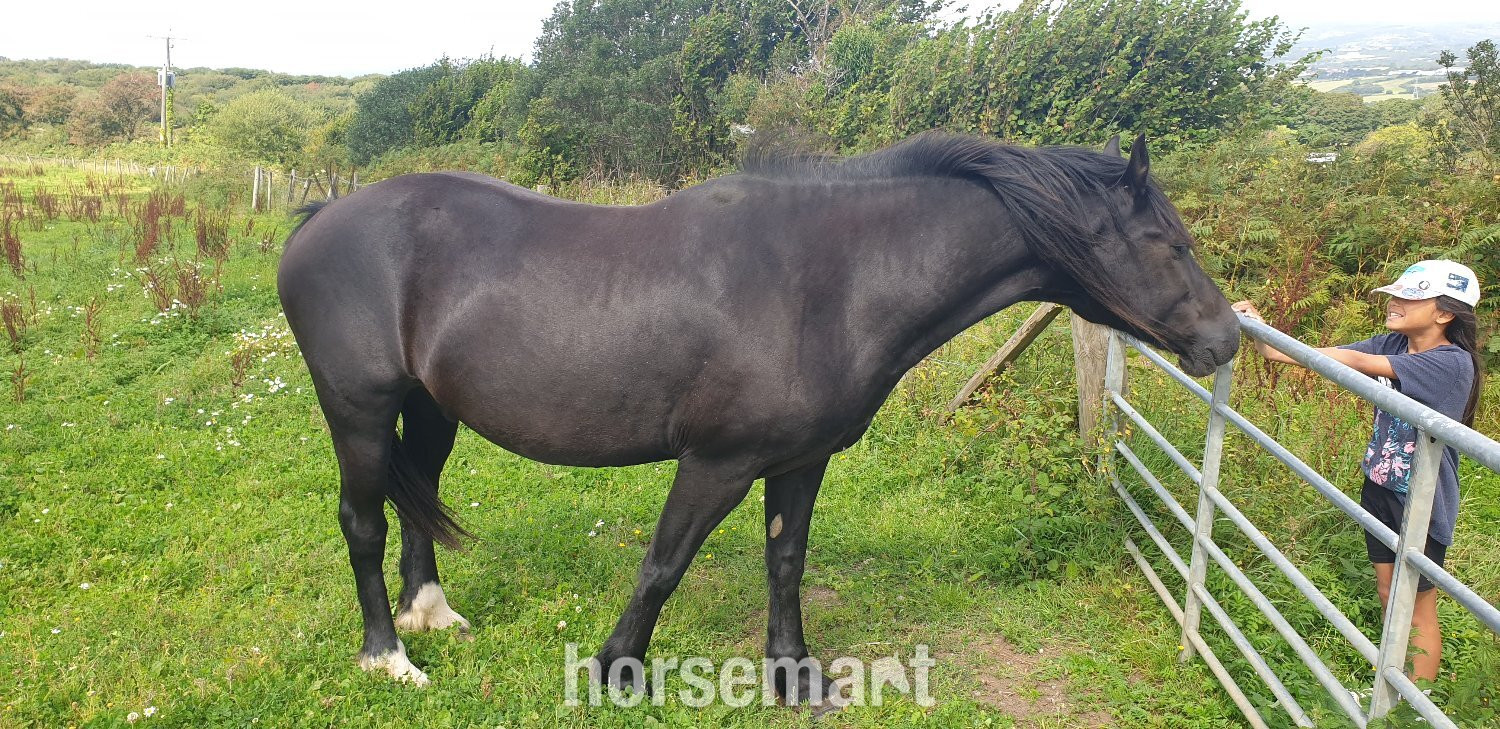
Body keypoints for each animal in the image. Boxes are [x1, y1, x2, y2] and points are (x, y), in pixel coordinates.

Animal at [276, 132, 1239, 706]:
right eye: (1170, 243)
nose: (1226, 340)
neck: (830, 279)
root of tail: (321, 217)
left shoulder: (801, 459)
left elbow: (786, 560)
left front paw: (793, 673)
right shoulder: (718, 461)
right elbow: (664, 562)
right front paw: (618, 669)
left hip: (429, 408)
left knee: (415, 503)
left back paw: (431, 614)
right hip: (358, 410)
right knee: (362, 519)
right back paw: (388, 655)